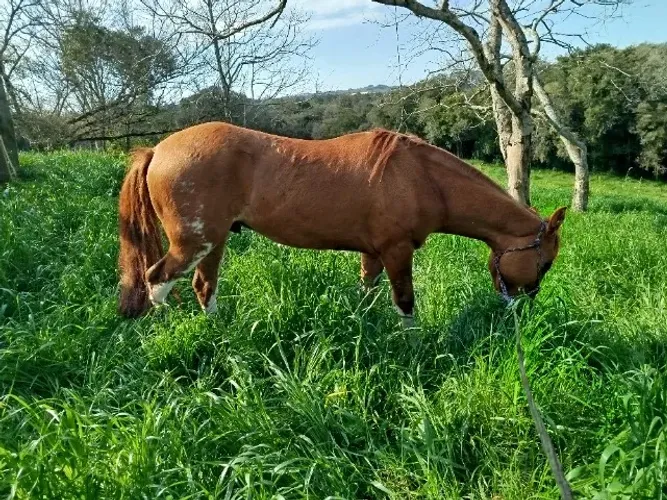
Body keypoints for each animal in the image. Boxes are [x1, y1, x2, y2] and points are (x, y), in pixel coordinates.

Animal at [118, 122, 566, 326]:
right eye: (544, 263)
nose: (522, 309)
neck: (421, 177)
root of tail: (157, 150)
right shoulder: (397, 251)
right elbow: (405, 301)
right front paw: (414, 341)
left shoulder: (374, 252)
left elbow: (368, 290)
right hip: (194, 243)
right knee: (157, 279)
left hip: (214, 243)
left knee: (203, 286)